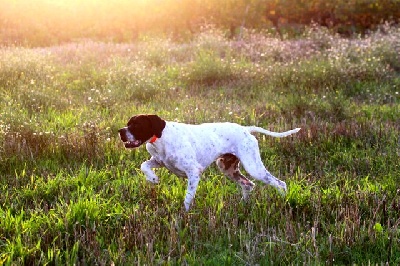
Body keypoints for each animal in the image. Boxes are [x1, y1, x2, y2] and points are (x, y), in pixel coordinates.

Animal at [119, 114, 300, 212]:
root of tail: (245, 129)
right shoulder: (159, 161)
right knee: (248, 184)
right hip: (227, 168)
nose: (120, 131)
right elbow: (144, 165)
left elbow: (187, 198)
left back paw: (284, 202)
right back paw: (243, 206)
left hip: (253, 167)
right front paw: (152, 178)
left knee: (280, 183)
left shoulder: (194, 172)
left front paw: (184, 216)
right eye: (128, 124)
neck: (160, 139)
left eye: (136, 125)